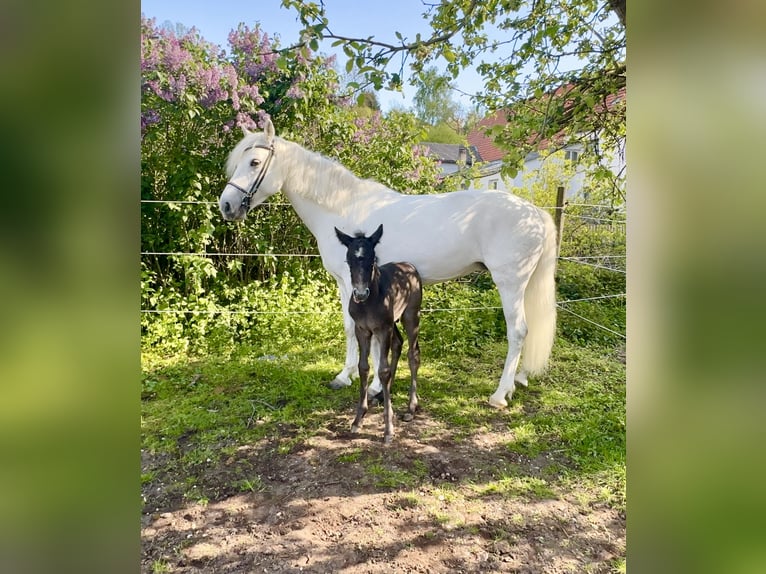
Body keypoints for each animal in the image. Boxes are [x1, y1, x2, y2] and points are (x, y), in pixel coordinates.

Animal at [218, 118, 560, 410]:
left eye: (254, 162)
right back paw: (517, 382)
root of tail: (535, 213)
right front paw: (354, 378)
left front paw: (363, 383)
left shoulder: (355, 284)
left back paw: (500, 394)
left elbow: (359, 330)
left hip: (509, 283)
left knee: (518, 331)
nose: (227, 206)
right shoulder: (354, 285)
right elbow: (358, 329)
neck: (341, 208)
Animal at [334, 225, 424, 446]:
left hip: (411, 315)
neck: (369, 302)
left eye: (372, 259)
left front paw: (388, 429)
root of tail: (410, 265)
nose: (360, 294)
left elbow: (382, 370)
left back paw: (410, 408)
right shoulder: (362, 330)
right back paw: (384, 394)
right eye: (348, 260)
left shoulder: (383, 329)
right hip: (393, 322)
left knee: (413, 354)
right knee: (398, 344)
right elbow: (364, 367)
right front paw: (358, 419)